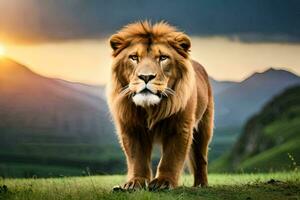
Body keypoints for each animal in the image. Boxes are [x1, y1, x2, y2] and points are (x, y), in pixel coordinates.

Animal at [107, 21, 213, 190]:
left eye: (163, 58)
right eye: (134, 57)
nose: (146, 76)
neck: (151, 109)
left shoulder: (180, 127)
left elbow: (171, 158)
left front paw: (164, 181)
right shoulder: (132, 128)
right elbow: (137, 158)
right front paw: (135, 182)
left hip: (204, 127)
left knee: (201, 159)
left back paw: (201, 185)